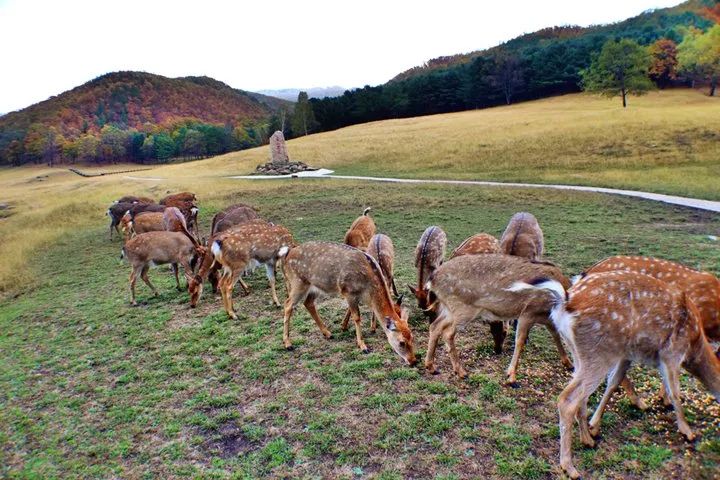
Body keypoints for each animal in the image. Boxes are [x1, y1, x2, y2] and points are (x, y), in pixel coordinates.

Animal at [280, 242, 420, 366]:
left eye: (412, 338)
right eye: (401, 342)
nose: (413, 361)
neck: (368, 289)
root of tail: (287, 253)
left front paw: (344, 327)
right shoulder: (348, 291)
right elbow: (357, 317)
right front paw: (363, 346)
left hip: (314, 287)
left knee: (308, 303)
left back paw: (328, 333)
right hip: (297, 282)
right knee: (288, 304)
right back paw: (288, 343)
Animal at [424, 253, 572, 384]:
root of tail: (432, 280)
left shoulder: (547, 318)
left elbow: (555, 334)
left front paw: (568, 363)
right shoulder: (528, 312)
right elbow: (520, 341)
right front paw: (511, 377)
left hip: (448, 308)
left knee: (435, 325)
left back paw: (431, 367)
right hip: (462, 308)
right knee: (448, 333)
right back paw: (461, 372)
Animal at [512, 272, 720, 478]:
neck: (695, 344)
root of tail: (566, 300)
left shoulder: (627, 355)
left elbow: (615, 381)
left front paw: (596, 425)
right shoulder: (672, 353)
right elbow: (675, 391)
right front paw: (688, 432)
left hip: (580, 353)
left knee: (581, 395)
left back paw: (587, 439)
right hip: (599, 352)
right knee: (567, 399)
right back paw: (569, 466)